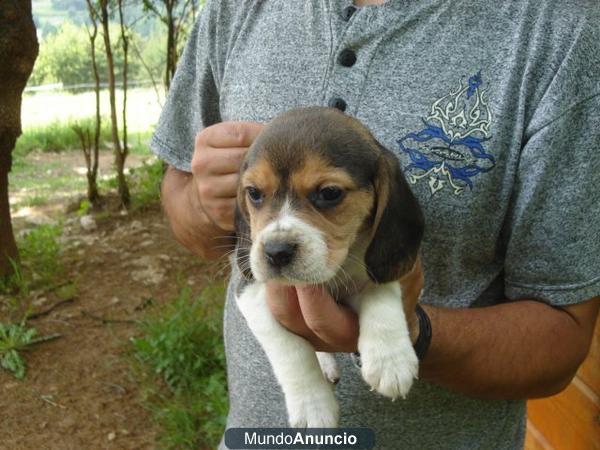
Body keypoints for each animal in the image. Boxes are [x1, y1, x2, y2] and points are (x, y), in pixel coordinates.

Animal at [232, 107, 424, 428]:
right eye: (254, 193)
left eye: (330, 193)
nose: (276, 252)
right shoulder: (249, 290)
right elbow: (290, 349)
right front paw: (312, 405)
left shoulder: (388, 267)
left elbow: (380, 292)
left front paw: (390, 359)